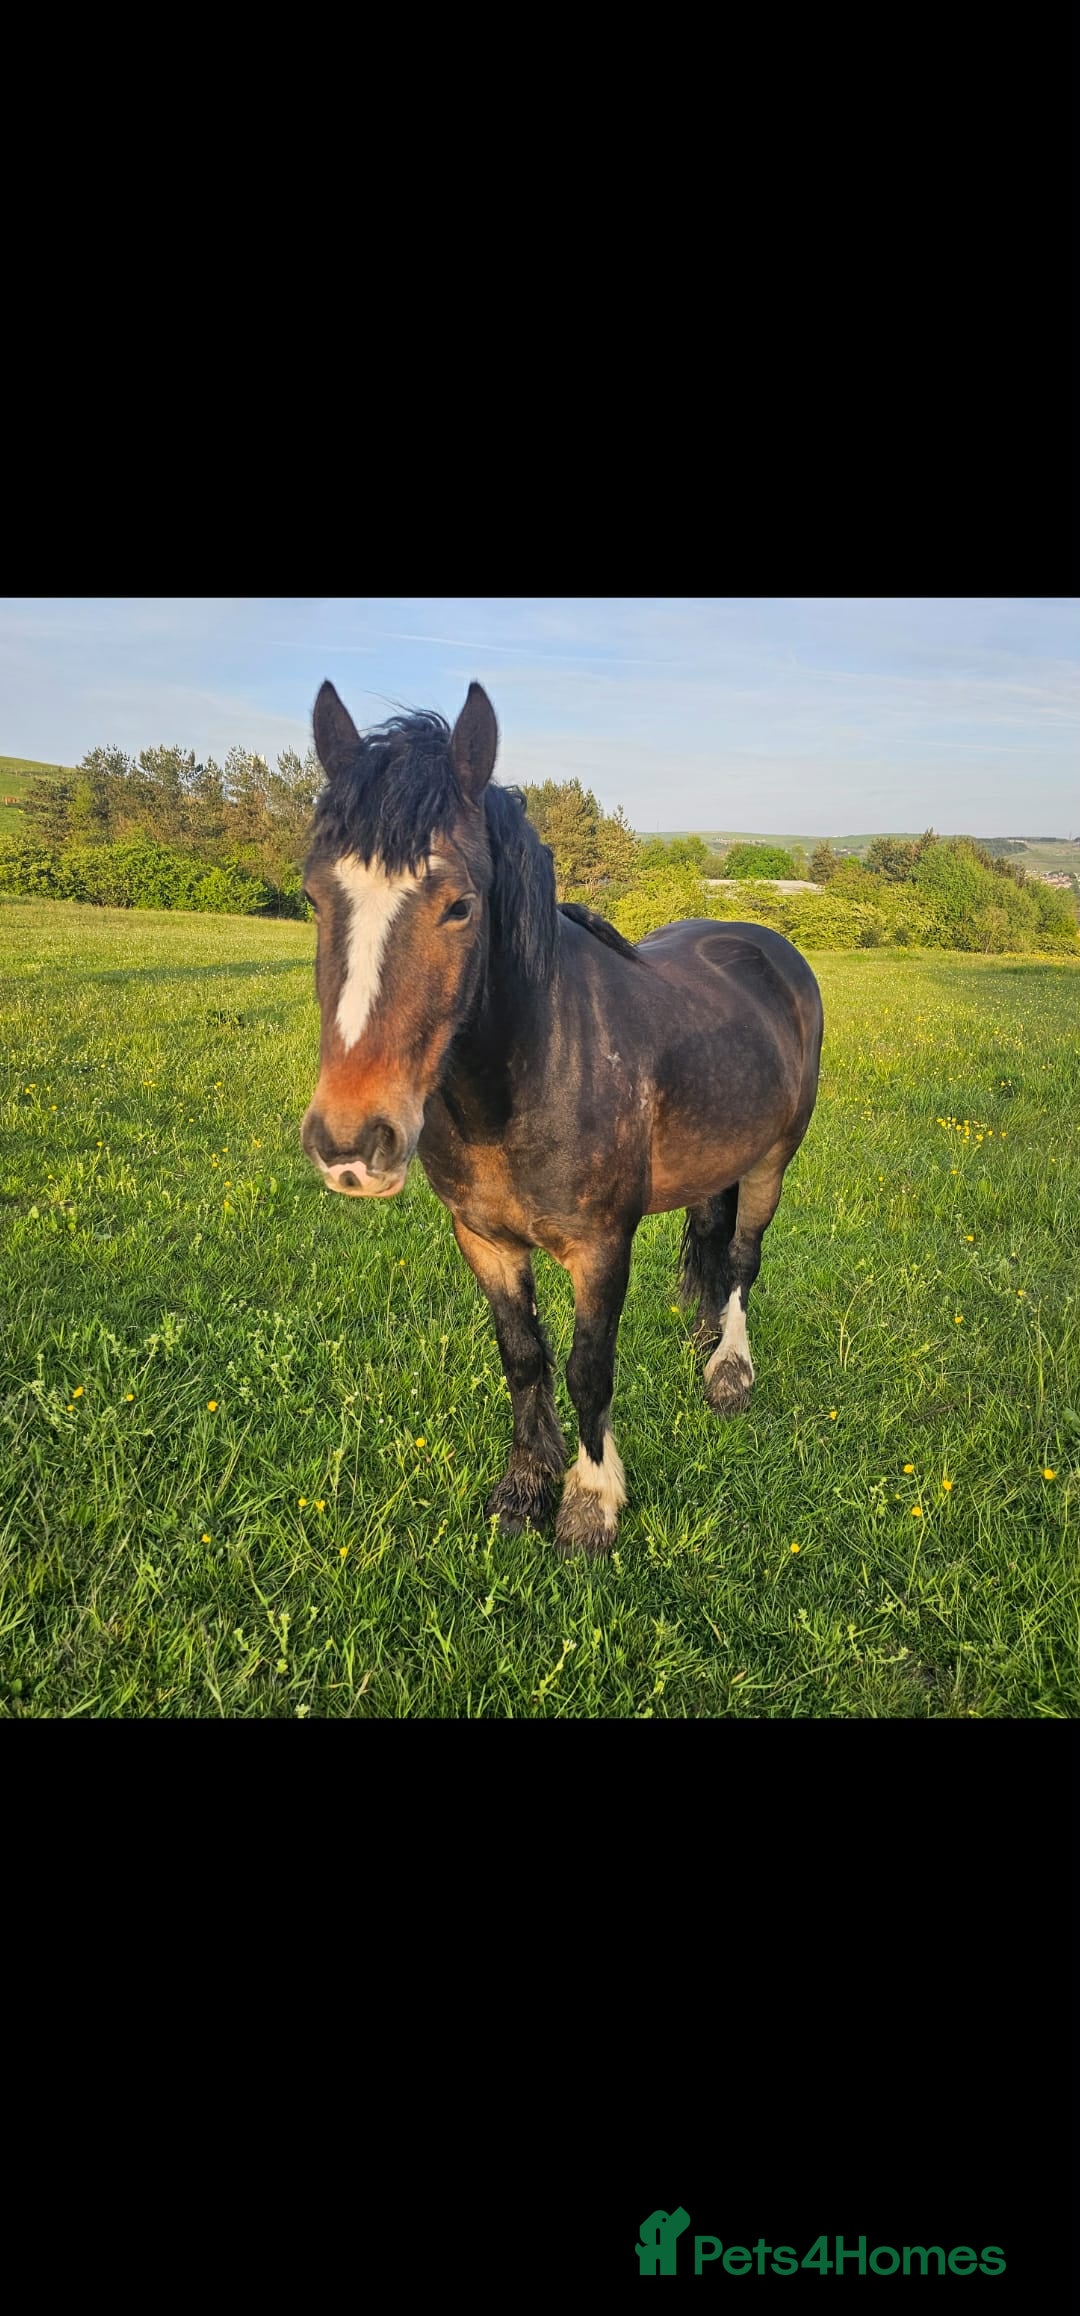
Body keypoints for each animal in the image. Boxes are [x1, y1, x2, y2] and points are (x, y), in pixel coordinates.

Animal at [300, 680, 824, 1558]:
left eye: (460, 906)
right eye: (313, 896)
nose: (350, 1145)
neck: (524, 1085)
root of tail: (766, 946)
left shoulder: (601, 1247)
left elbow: (588, 1368)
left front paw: (589, 1501)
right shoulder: (483, 1240)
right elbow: (523, 1356)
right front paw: (524, 1486)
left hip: (771, 1161)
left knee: (746, 1259)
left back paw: (728, 1371)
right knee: (715, 1251)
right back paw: (704, 1338)